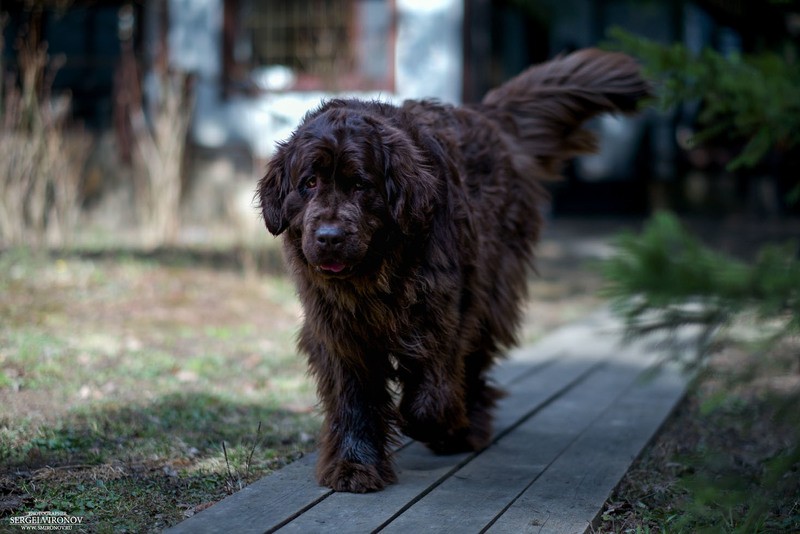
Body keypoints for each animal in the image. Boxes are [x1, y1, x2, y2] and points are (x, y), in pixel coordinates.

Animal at [258, 49, 648, 494]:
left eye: (360, 185)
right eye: (309, 183)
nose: (329, 236)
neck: (377, 271)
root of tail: (485, 115)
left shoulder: (442, 309)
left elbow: (431, 393)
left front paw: (438, 424)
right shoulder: (339, 328)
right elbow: (354, 398)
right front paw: (354, 465)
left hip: (491, 289)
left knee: (473, 363)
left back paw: (466, 429)